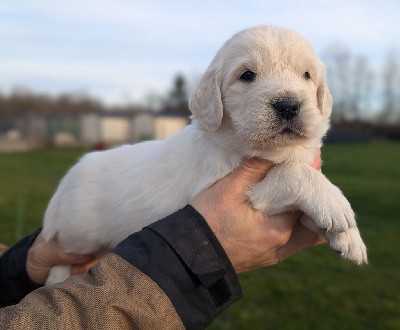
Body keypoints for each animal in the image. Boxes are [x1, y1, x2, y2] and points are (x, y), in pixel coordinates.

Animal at [43, 25, 366, 284]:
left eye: (307, 75)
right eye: (247, 75)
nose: (288, 105)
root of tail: (71, 175)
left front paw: (348, 238)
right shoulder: (230, 188)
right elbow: (289, 172)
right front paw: (336, 207)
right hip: (78, 234)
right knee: (61, 258)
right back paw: (57, 279)